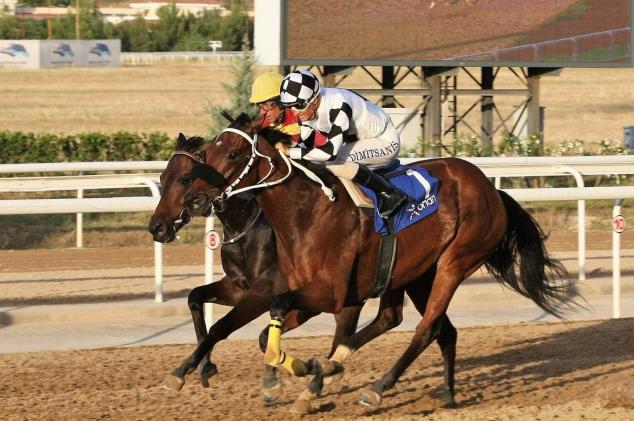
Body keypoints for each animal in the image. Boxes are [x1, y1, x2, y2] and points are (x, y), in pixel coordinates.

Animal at [159, 116, 572, 408]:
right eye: (165, 177)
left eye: (231, 154)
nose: (158, 226)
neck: (303, 214)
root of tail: (491, 188)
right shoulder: (260, 288)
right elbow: (215, 309)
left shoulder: (316, 293)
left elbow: (235, 324)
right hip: (414, 273)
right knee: (418, 324)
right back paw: (445, 393)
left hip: (454, 264)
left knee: (425, 329)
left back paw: (374, 387)